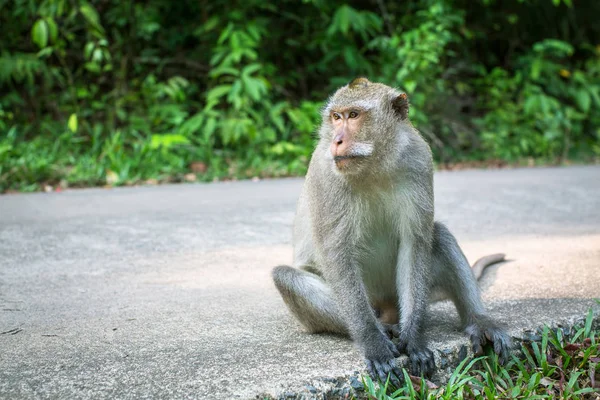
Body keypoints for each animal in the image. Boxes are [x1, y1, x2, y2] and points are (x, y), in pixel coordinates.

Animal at [272, 77, 510, 384]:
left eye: (353, 115)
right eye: (336, 117)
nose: (337, 140)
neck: (374, 164)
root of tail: (387, 310)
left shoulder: (420, 159)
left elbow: (415, 242)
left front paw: (415, 339)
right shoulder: (327, 172)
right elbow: (337, 254)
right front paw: (374, 344)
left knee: (439, 235)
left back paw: (477, 322)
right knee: (286, 276)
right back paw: (383, 331)